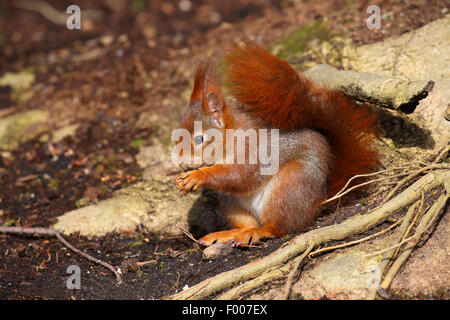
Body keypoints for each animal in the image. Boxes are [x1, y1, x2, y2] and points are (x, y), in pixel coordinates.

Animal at [174, 43, 378, 246]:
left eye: (199, 139)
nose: (180, 162)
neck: (231, 137)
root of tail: (319, 201)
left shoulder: (253, 149)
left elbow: (240, 175)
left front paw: (197, 176)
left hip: (289, 186)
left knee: (279, 227)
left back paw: (259, 231)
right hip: (232, 203)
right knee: (247, 222)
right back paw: (230, 234)